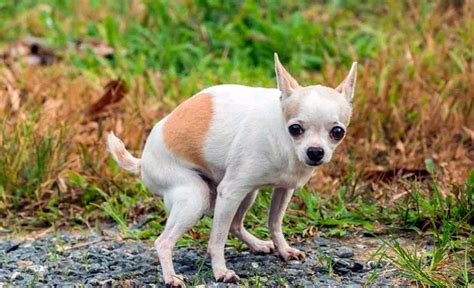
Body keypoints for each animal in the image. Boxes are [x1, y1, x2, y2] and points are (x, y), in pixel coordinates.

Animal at [107, 53, 358, 286]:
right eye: (295, 129)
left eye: (338, 132)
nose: (315, 152)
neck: (284, 140)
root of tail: (142, 163)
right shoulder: (229, 192)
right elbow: (217, 239)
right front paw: (220, 271)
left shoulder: (283, 189)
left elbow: (274, 223)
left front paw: (284, 249)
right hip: (195, 196)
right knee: (164, 241)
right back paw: (171, 277)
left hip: (247, 194)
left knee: (236, 225)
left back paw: (257, 244)